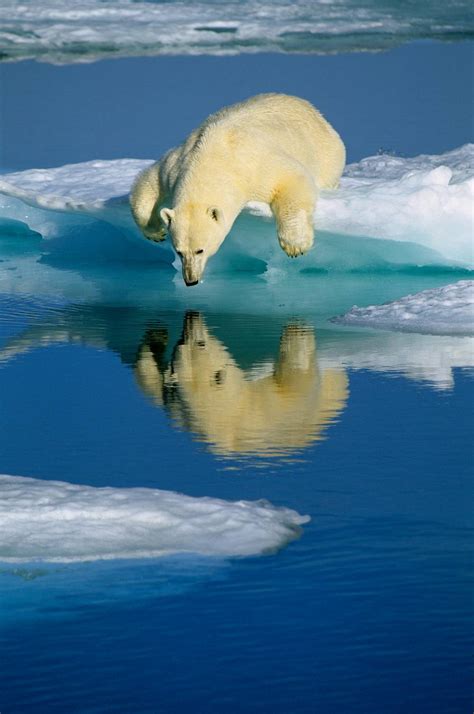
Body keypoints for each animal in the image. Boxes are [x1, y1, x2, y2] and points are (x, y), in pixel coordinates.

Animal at [130, 93, 344, 286]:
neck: (212, 156)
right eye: (179, 251)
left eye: (200, 250)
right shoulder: (176, 165)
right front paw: (156, 232)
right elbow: (150, 180)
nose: (191, 280)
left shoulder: (255, 164)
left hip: (327, 154)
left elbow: (292, 178)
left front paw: (295, 246)